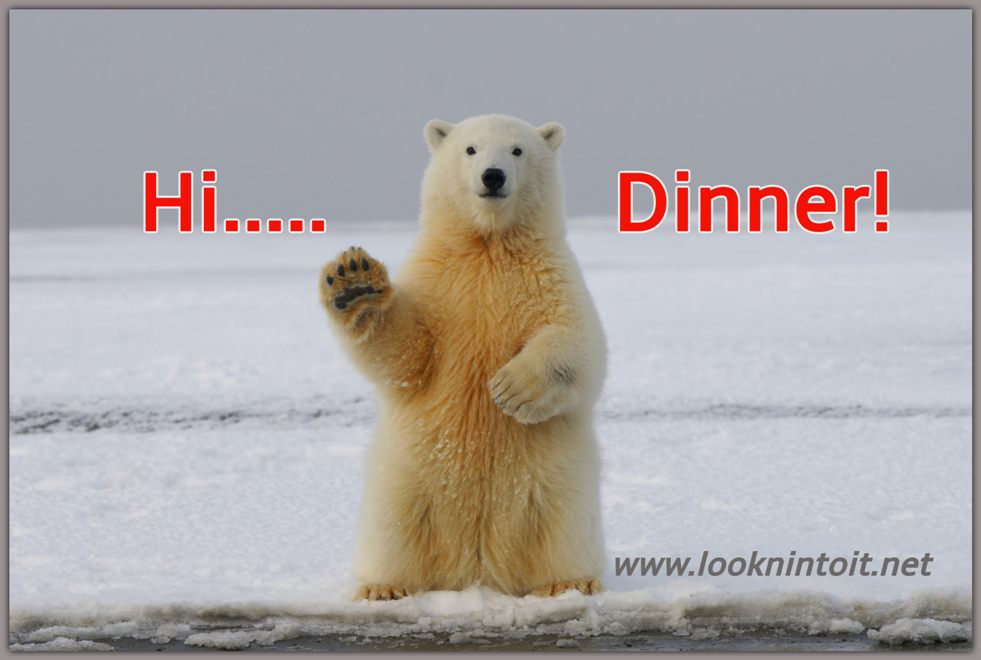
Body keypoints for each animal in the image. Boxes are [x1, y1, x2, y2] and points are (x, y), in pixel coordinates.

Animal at [319, 114, 607, 600]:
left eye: (517, 150)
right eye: (470, 149)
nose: (493, 176)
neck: (487, 245)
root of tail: (477, 570)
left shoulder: (550, 276)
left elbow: (578, 342)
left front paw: (510, 389)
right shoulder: (439, 282)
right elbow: (408, 354)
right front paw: (354, 282)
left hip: (557, 483)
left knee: (563, 527)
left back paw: (569, 582)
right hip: (406, 480)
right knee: (393, 528)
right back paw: (383, 587)